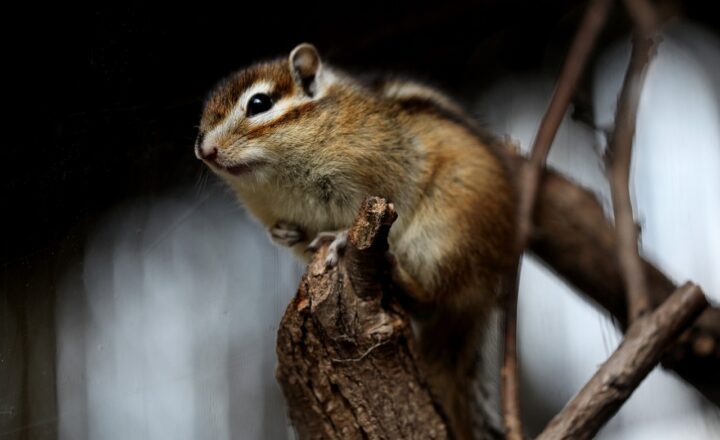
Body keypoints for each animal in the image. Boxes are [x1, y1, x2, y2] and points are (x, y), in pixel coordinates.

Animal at [195, 43, 517, 439]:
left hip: (443, 238)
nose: (204, 150)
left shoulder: (385, 175)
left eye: (259, 103)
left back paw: (396, 270)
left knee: (433, 297)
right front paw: (283, 234)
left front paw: (339, 238)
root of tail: (488, 288)